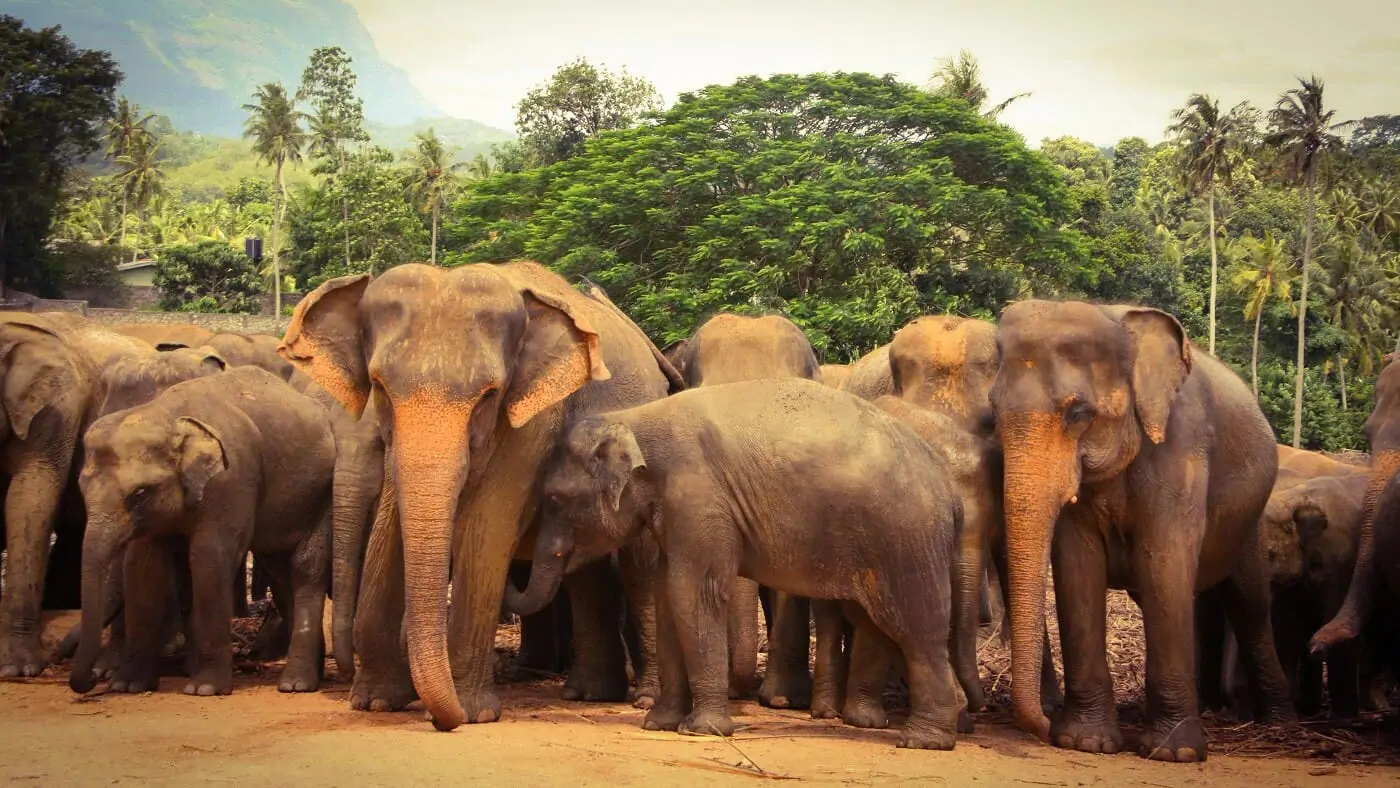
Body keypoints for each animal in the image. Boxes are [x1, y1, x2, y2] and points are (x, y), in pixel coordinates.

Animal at [69, 366, 335, 697]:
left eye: (139, 493)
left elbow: (209, 557)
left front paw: (204, 688)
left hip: (321, 495)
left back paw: (295, 684)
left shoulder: (231, 479)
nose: (93, 679)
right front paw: (128, 685)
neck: (167, 415)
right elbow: (144, 567)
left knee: (305, 568)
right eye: (82, 488)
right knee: (280, 570)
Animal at [278, 261, 681, 731]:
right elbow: (390, 529)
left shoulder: (533, 419)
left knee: (640, 566)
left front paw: (472, 713)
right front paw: (377, 701)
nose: (441, 718)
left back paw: (642, 698)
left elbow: (488, 526)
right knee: (587, 573)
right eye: (379, 388)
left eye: (488, 395)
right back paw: (589, 693)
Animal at [511, 377, 966, 749]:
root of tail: (950, 489)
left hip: (908, 540)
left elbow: (693, 593)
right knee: (882, 624)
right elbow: (668, 596)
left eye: (554, 500)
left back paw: (922, 741)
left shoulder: (699, 496)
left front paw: (703, 730)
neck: (634, 419)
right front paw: (658, 723)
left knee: (915, 625)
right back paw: (946, 723)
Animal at [990, 300, 1292, 762]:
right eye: (993, 410)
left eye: (1078, 414)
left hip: (1251, 522)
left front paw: (1174, 753)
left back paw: (1276, 719)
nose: (1044, 727)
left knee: (1249, 602)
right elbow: (1078, 567)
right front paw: (1086, 743)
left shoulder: (1181, 449)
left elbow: (1164, 562)